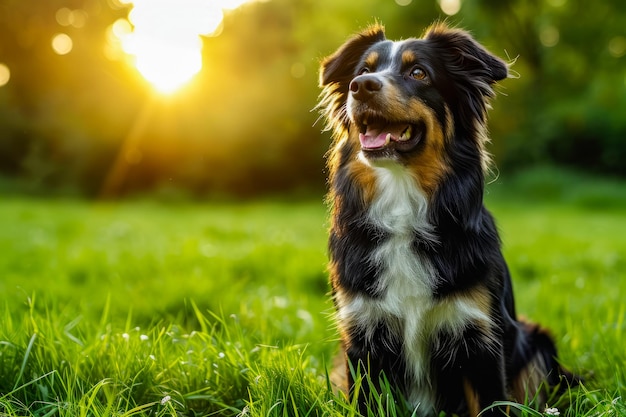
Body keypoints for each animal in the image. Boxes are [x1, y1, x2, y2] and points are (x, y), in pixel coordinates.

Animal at [316, 23, 576, 416]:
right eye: (363, 70)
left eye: (418, 73)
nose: (361, 86)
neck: (403, 202)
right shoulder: (363, 336)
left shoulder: (480, 339)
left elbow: (491, 403)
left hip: (535, 342)